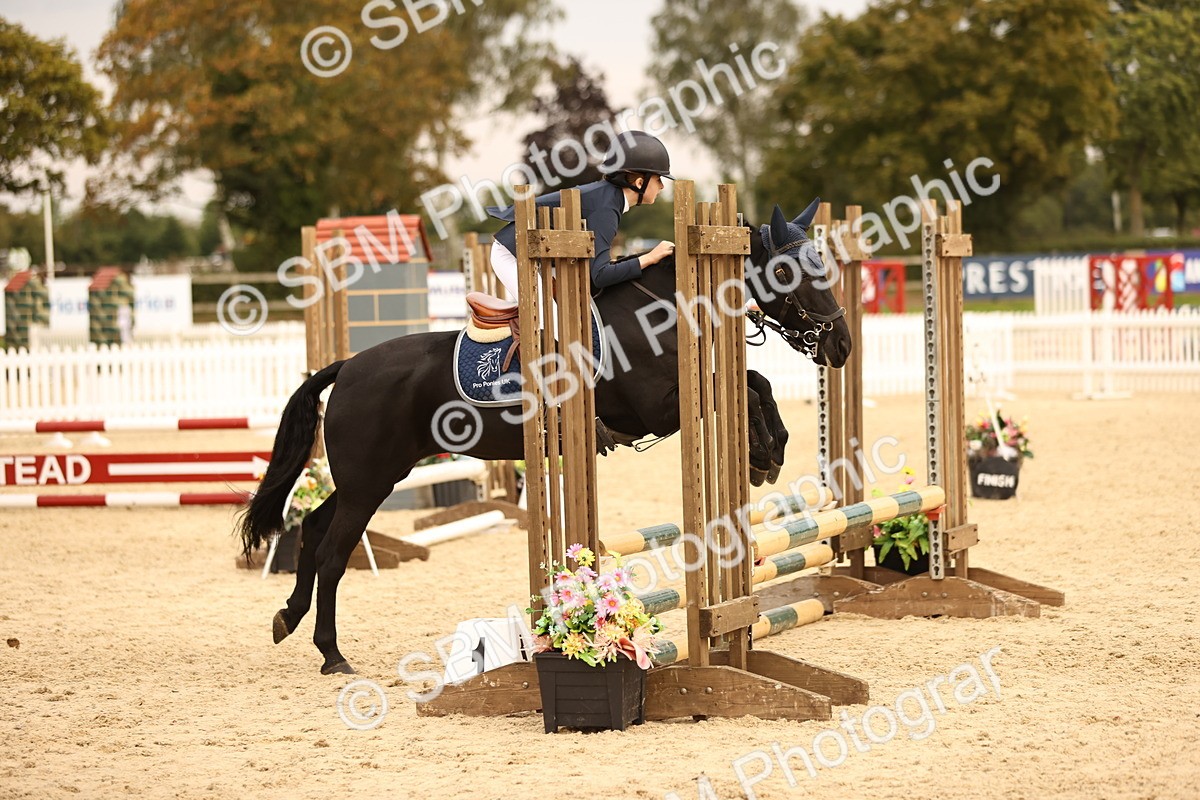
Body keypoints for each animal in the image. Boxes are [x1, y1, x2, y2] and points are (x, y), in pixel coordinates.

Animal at [239, 202, 853, 674]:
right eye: (792, 274)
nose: (841, 345)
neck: (661, 309)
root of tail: (347, 367)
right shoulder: (661, 409)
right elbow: (745, 388)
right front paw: (763, 453)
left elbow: (757, 382)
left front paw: (769, 450)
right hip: (370, 480)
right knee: (334, 553)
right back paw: (331, 653)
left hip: (374, 477)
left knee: (314, 529)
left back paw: (287, 618)